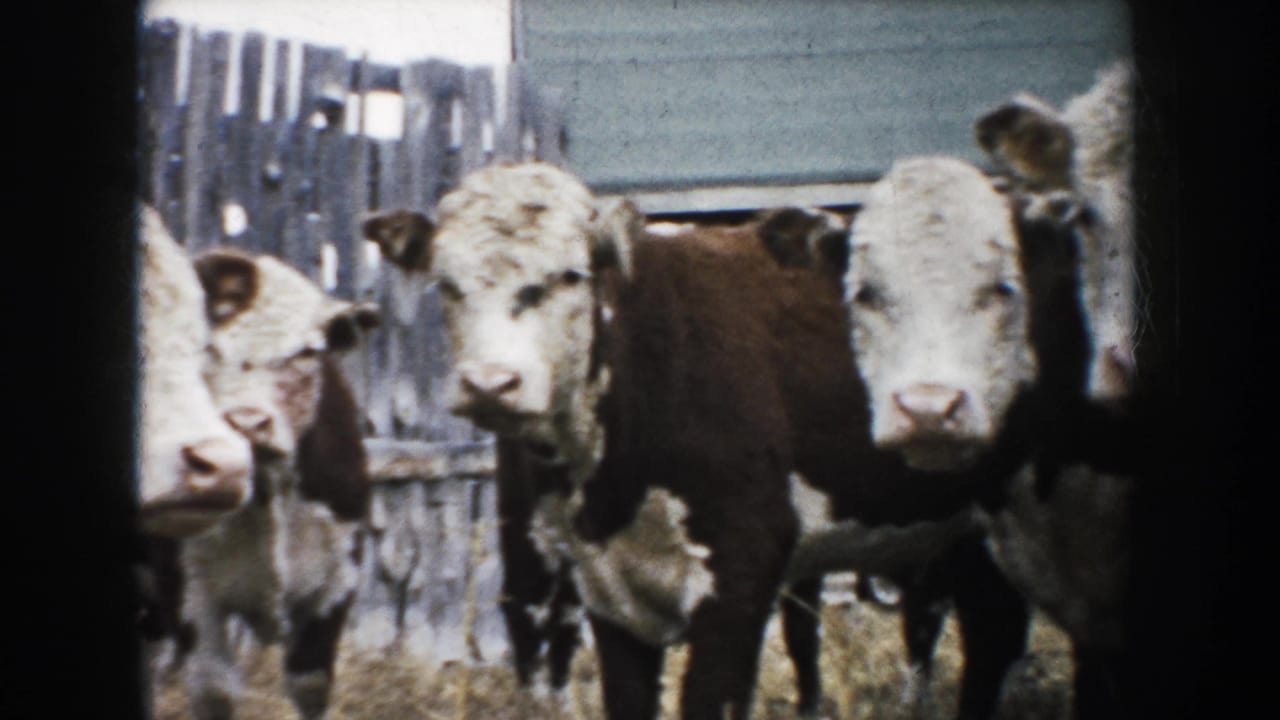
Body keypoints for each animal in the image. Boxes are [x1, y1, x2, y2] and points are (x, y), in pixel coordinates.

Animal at [166, 247, 379, 720]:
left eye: (305, 352)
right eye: (205, 347)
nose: (248, 423)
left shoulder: (337, 581)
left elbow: (310, 683)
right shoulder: (195, 597)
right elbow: (214, 690)